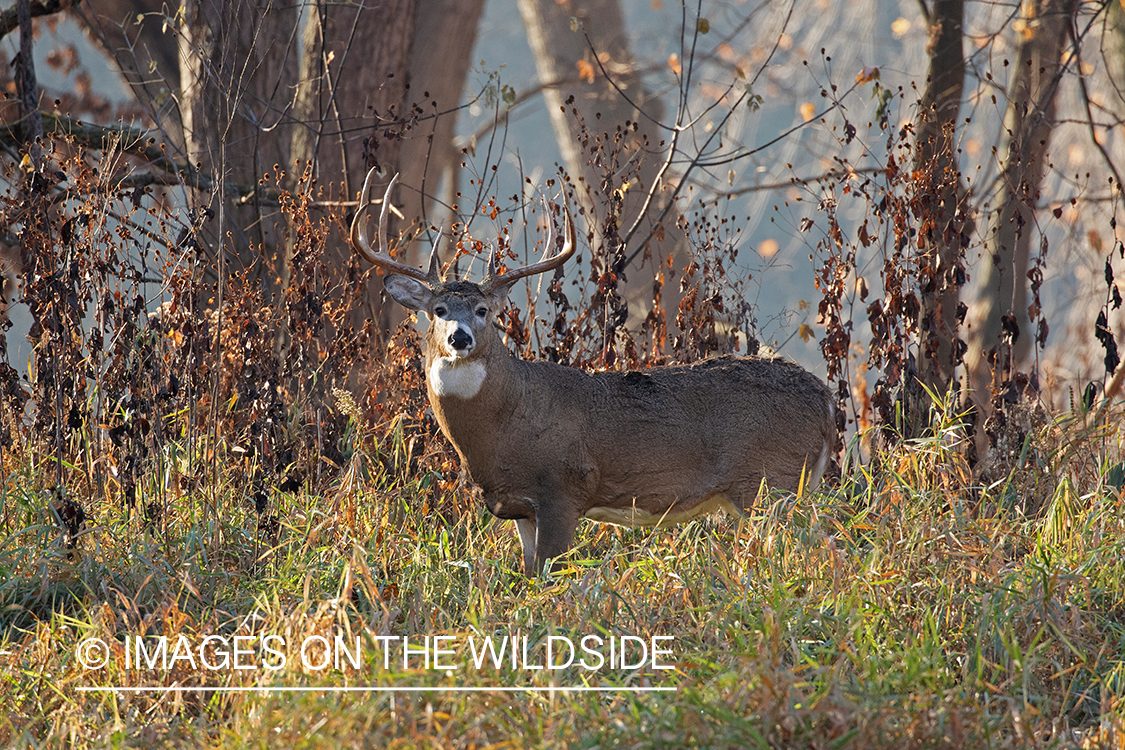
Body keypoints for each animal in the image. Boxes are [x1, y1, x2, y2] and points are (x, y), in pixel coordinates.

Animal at [351, 169, 837, 580]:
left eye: (484, 310)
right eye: (438, 309)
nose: (459, 337)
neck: (505, 422)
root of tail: (827, 398)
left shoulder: (565, 488)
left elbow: (549, 578)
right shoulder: (519, 507)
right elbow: (529, 576)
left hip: (772, 480)